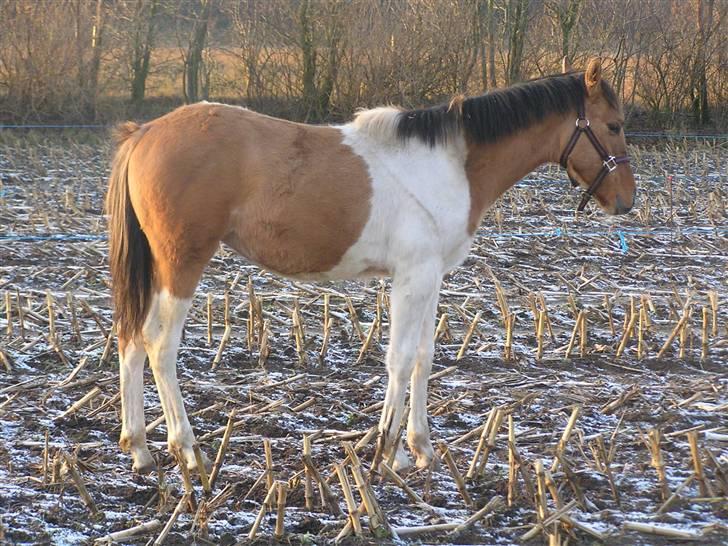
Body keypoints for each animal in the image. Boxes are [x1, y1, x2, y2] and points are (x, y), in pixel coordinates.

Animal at [105, 58, 636, 472]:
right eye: (613, 125)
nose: (626, 201)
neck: (451, 163)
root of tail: (145, 133)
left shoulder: (430, 278)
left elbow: (422, 358)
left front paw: (419, 448)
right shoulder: (412, 276)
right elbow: (398, 360)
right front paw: (388, 453)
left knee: (131, 339)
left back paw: (140, 449)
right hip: (181, 265)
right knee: (159, 346)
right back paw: (187, 449)